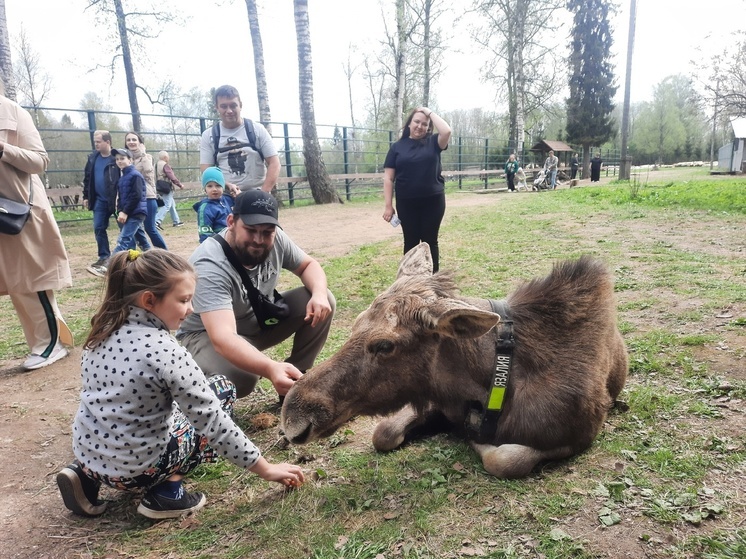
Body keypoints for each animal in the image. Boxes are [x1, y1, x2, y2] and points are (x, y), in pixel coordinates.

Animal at [282, 243, 624, 480]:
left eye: (384, 345)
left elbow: (503, 459)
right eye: (355, 323)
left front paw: (476, 442)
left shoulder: (580, 435)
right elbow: (384, 433)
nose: (294, 416)